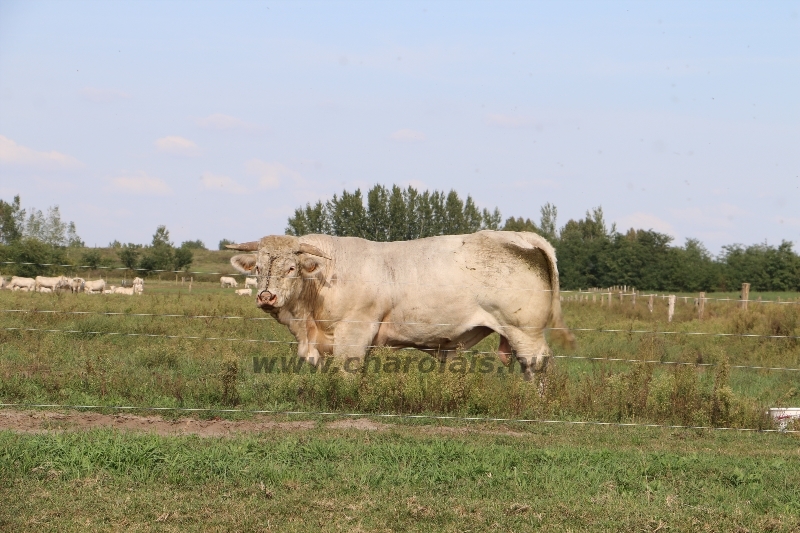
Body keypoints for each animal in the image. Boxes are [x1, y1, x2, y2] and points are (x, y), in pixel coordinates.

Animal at [228, 230, 572, 378]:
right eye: (258, 268)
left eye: (291, 268)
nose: (266, 297)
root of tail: (521, 236)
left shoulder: (354, 333)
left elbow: (347, 371)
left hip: (524, 330)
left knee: (538, 366)